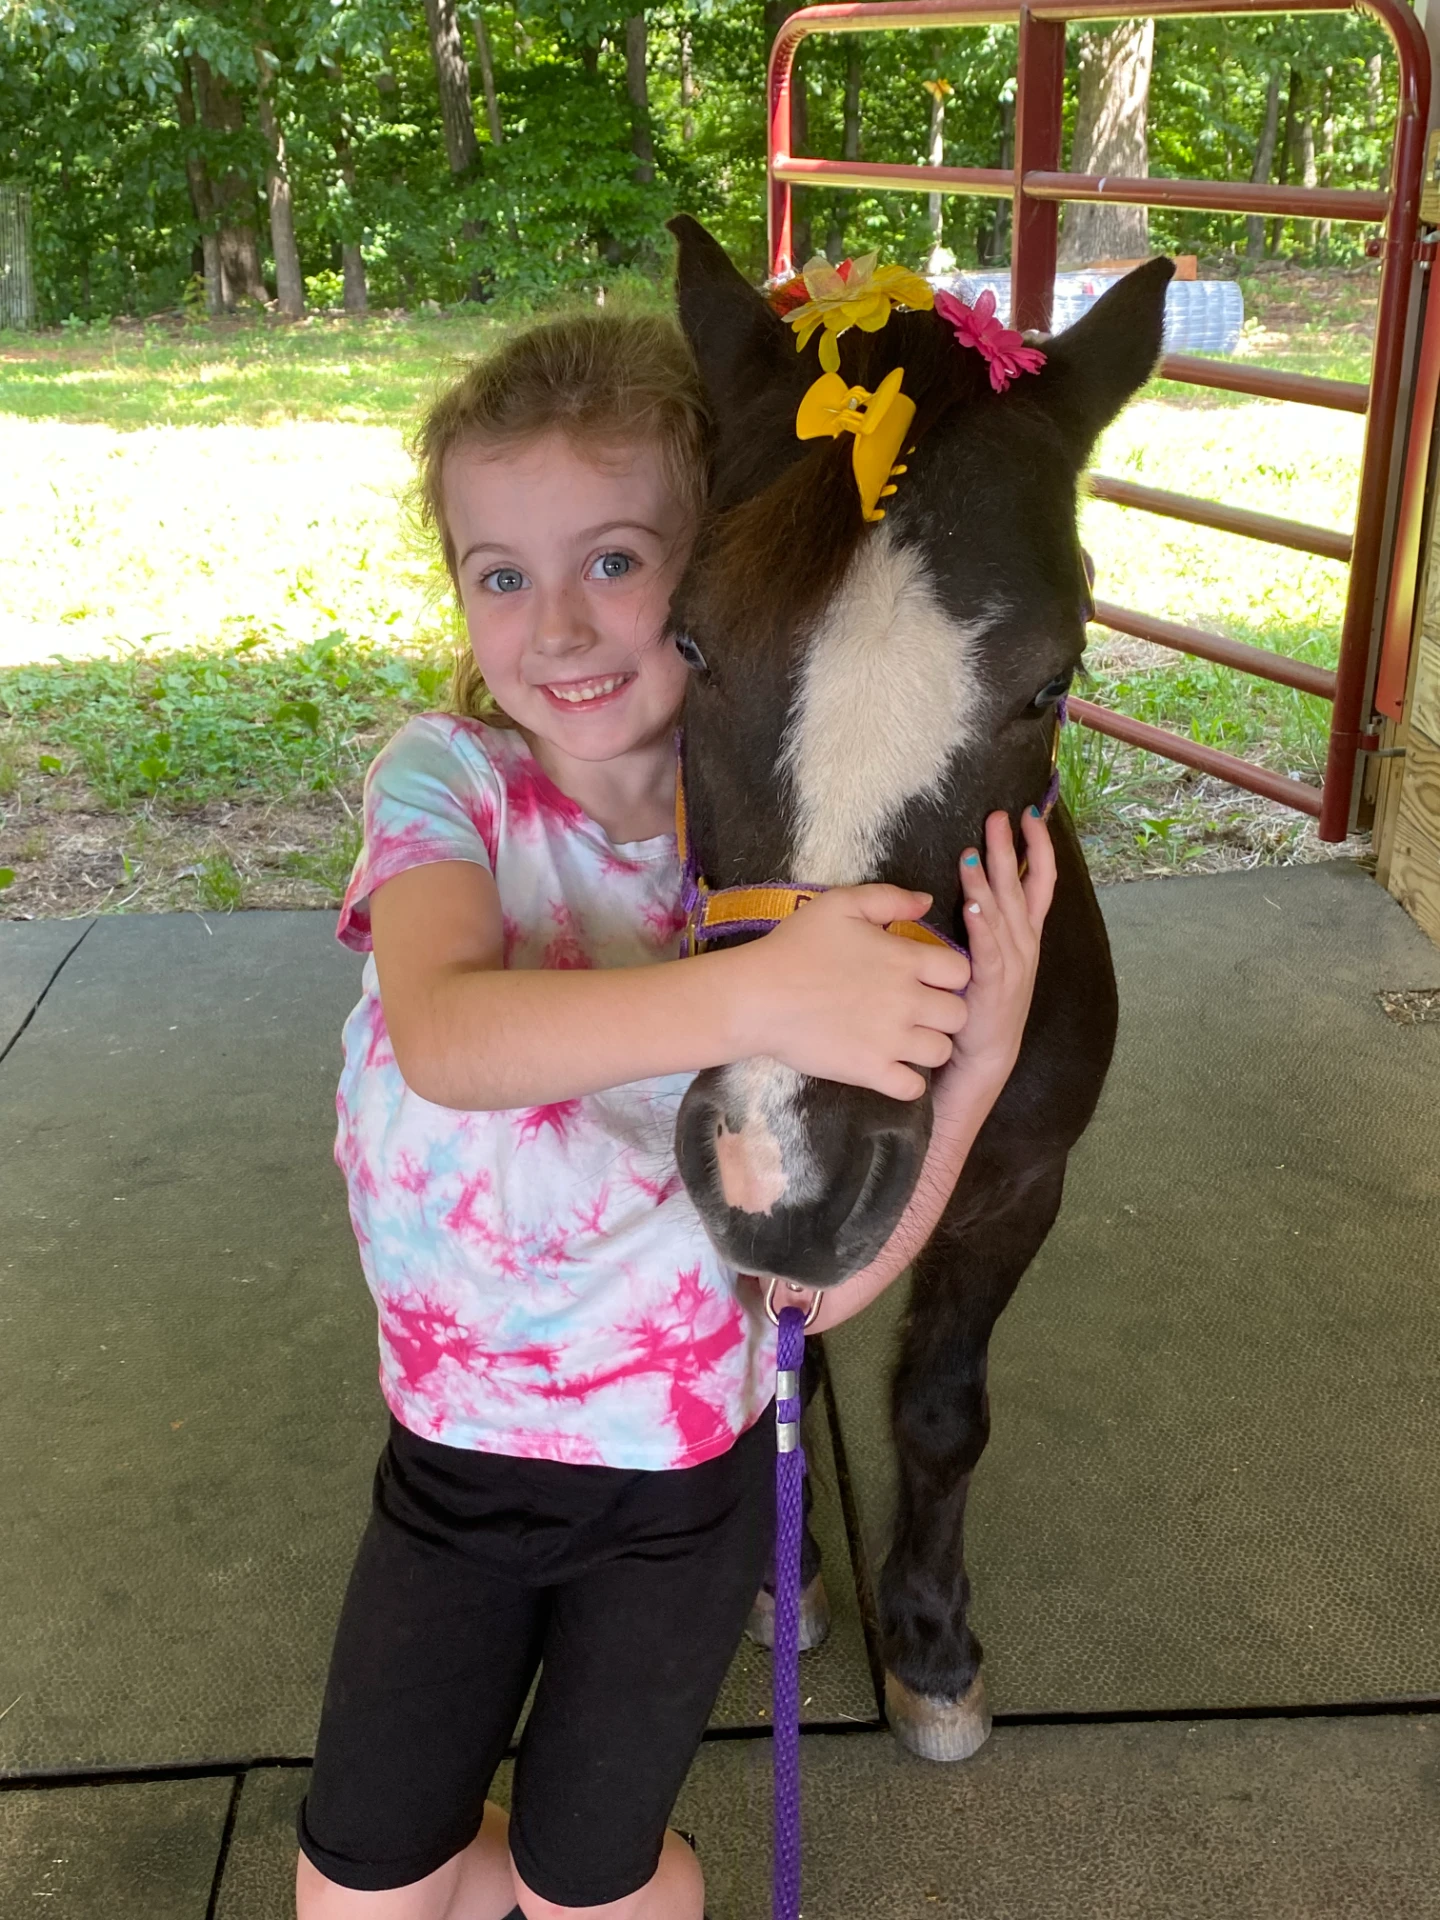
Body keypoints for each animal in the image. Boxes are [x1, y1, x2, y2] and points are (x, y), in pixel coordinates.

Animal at [666, 215, 1173, 1760]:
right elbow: (777, 1370)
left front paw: (933, 1642)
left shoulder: (1018, 1190)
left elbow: (945, 1412)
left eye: (1053, 685)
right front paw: (778, 1587)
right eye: (689, 641)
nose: (789, 1165)